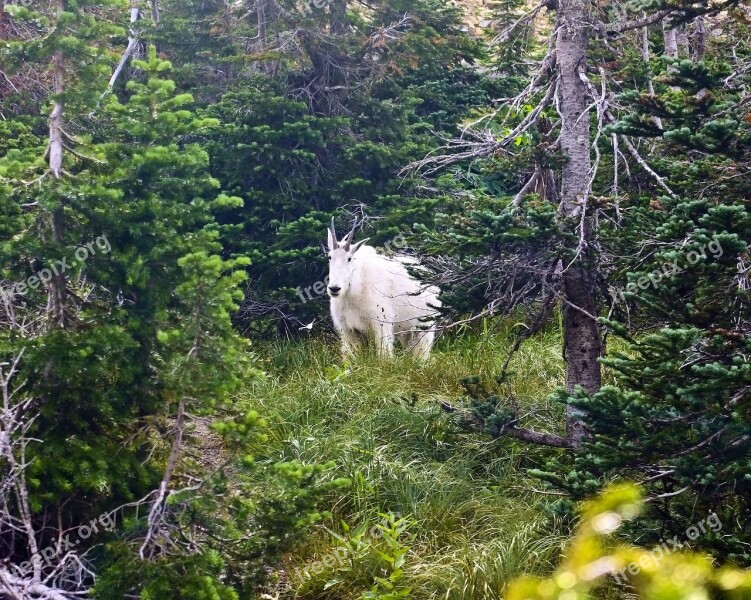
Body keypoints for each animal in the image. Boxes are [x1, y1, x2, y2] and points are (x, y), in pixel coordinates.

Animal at [324, 221, 440, 358]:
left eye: (349, 258)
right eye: (329, 257)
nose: (334, 288)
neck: (353, 293)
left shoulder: (381, 324)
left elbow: (384, 354)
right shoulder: (348, 330)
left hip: (425, 327)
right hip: (408, 331)